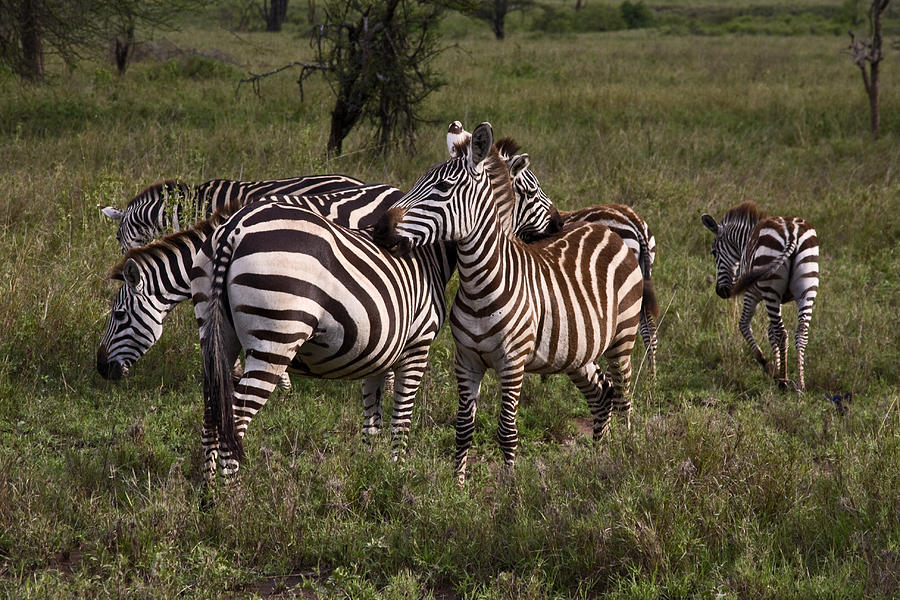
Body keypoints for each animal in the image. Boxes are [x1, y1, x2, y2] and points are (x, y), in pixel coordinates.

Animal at [202, 137, 564, 482]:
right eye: (529, 190)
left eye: (439, 186)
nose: (559, 223)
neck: (432, 256)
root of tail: (236, 228)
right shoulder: (417, 347)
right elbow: (401, 421)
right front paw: (397, 476)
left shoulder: (376, 353)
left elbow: (371, 425)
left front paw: (371, 474)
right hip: (274, 338)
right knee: (234, 421)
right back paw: (232, 498)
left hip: (218, 334)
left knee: (212, 414)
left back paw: (208, 494)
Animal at [700, 199, 820, 392]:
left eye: (714, 252)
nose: (720, 292)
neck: (745, 240)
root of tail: (791, 234)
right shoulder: (778, 299)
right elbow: (770, 332)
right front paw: (777, 367)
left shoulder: (752, 293)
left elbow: (744, 325)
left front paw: (771, 368)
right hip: (807, 288)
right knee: (800, 332)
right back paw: (800, 384)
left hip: (770, 289)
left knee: (782, 333)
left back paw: (783, 381)